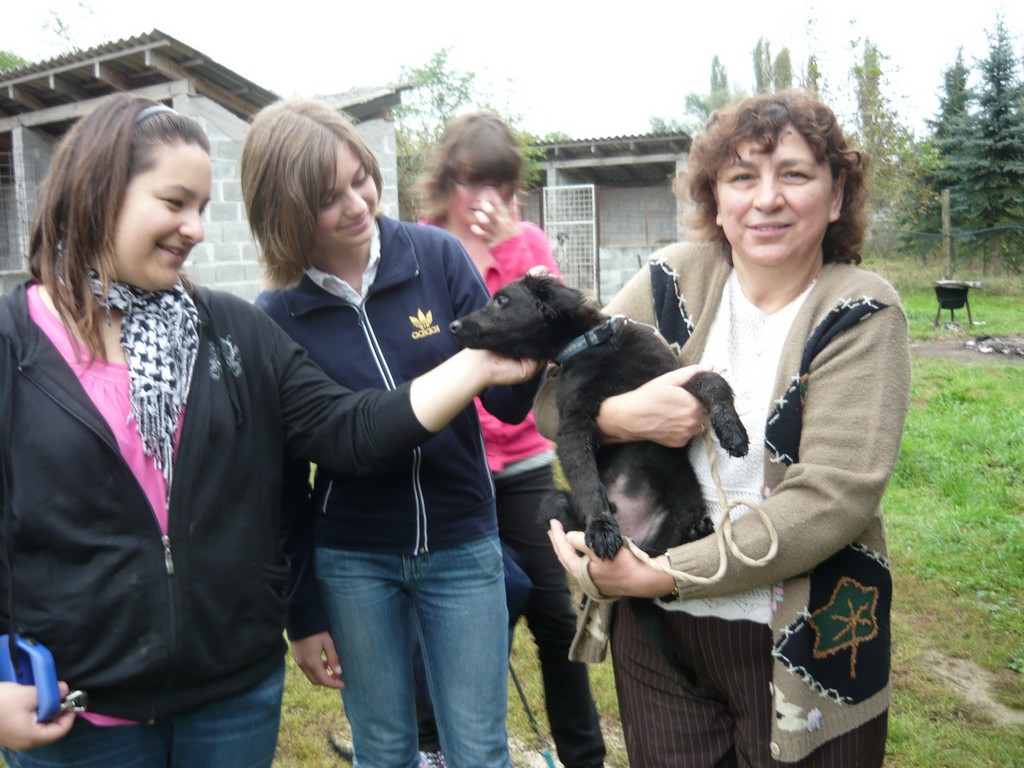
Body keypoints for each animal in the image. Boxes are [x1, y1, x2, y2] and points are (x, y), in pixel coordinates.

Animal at [450, 274, 748, 560]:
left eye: (502, 300)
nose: (453, 326)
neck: (595, 344)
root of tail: (636, 538)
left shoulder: (668, 381)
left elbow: (711, 380)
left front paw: (733, 432)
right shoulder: (573, 423)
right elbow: (586, 481)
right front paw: (601, 527)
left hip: (685, 502)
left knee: (669, 547)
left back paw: (696, 529)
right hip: (555, 501)